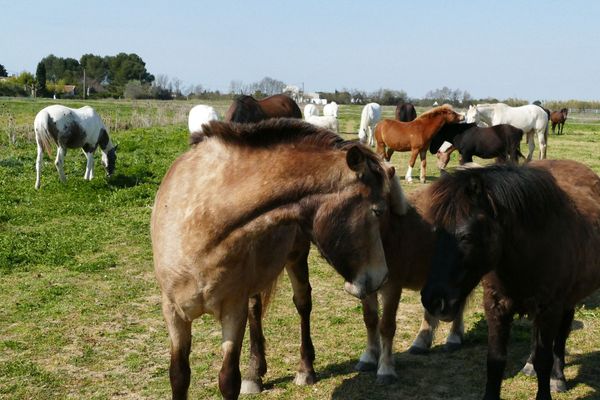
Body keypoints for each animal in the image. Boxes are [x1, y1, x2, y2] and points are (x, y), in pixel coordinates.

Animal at [151, 117, 408, 398]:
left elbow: (228, 379)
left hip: (296, 257)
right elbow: (179, 376)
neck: (200, 222)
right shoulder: (173, 312)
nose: (381, 277)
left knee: (303, 304)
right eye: (377, 210)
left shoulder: (232, 311)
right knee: (256, 310)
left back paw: (305, 369)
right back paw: (255, 373)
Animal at [422, 160, 600, 400]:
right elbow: (496, 361)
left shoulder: (550, 309)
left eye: (466, 236)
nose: (433, 300)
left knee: (562, 333)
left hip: (568, 299)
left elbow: (545, 359)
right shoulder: (496, 307)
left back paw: (558, 376)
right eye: (435, 231)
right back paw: (530, 364)